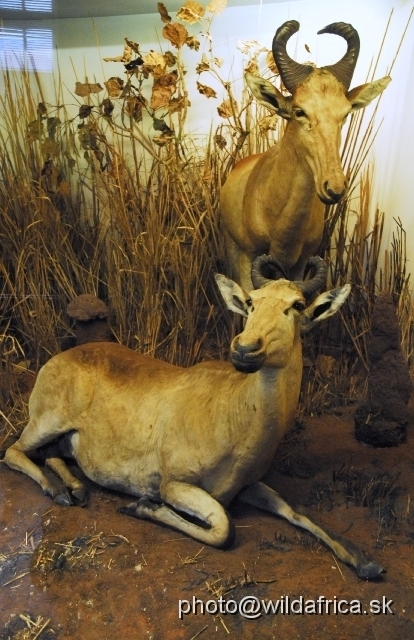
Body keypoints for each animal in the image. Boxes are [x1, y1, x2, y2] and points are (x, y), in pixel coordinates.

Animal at [2, 256, 384, 580]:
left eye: (297, 305)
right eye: (251, 301)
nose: (244, 350)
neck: (233, 413)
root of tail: (61, 358)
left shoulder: (248, 485)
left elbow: (296, 511)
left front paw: (366, 562)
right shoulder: (175, 485)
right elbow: (223, 528)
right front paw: (142, 506)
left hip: (65, 439)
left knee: (51, 455)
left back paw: (77, 489)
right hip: (46, 422)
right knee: (14, 451)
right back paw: (58, 491)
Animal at [220, 20, 392, 290]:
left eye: (345, 113)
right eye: (299, 111)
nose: (334, 188)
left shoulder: (299, 265)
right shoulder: (248, 258)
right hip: (231, 247)